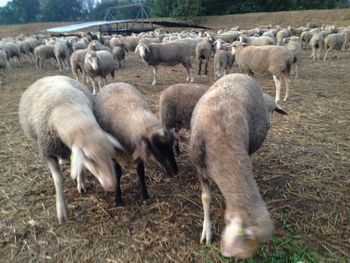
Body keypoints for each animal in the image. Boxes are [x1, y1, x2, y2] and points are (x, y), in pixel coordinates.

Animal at [18, 75, 124, 224]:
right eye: (90, 158)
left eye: (110, 154)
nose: (112, 185)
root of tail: (50, 76)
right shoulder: (48, 151)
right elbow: (58, 179)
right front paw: (61, 210)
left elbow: (80, 167)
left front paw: (81, 184)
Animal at [190, 74, 286, 260]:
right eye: (245, 236)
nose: (227, 253)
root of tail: (241, 74)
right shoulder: (200, 169)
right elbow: (206, 198)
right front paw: (207, 231)